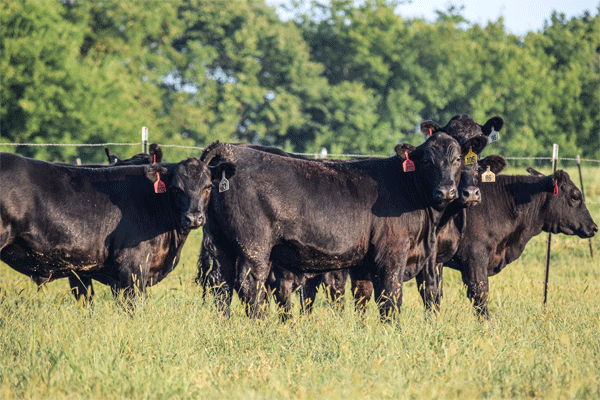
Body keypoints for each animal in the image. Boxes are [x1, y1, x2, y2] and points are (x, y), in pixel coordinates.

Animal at [200, 133, 488, 320]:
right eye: (427, 161)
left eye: (458, 159)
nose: (447, 191)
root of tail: (231, 150)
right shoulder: (392, 254)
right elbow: (391, 298)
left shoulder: (366, 262)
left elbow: (366, 296)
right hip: (254, 245)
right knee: (250, 285)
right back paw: (260, 326)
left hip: (220, 241)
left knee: (221, 284)